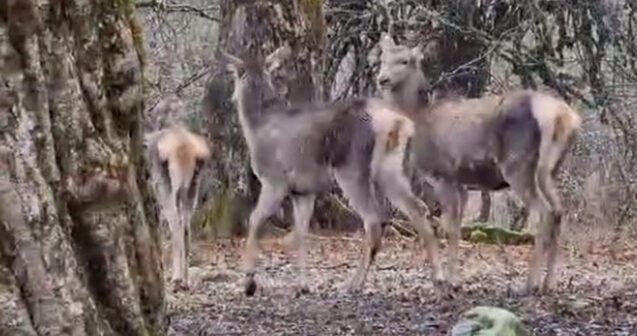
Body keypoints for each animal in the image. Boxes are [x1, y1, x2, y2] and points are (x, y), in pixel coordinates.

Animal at [143, 122, 209, 290]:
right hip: (193, 185)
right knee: (186, 227)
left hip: (171, 183)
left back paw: (177, 278)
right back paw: (185, 280)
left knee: (176, 225)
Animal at [221, 45, 444, 296]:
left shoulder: (274, 180)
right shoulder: (303, 191)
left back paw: (354, 283)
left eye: (235, 76)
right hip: (390, 167)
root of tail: (398, 121)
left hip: (351, 169)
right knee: (418, 208)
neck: (257, 126)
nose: (231, 97)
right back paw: (439, 277)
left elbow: (255, 220)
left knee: (374, 220)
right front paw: (303, 285)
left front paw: (249, 283)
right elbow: (301, 233)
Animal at [378, 32, 580, 292]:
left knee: (543, 212)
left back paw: (529, 283)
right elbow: (456, 227)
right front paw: (456, 279)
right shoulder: (462, 183)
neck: (419, 122)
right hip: (550, 170)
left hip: (518, 165)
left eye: (404, 61)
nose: (382, 79)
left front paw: (448, 280)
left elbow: (449, 226)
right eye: (382, 58)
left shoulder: (443, 174)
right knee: (558, 211)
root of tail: (564, 117)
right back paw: (549, 283)